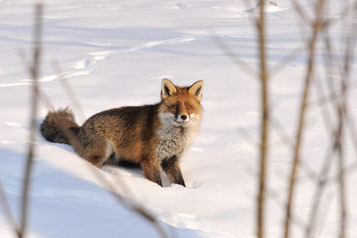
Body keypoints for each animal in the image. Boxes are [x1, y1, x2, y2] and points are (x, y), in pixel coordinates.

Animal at [40, 79, 202, 187]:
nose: (183, 117)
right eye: (175, 107)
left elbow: (181, 182)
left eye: (188, 107)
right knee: (90, 164)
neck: (177, 136)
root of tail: (81, 127)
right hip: (103, 151)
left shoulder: (171, 159)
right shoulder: (149, 158)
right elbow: (157, 183)